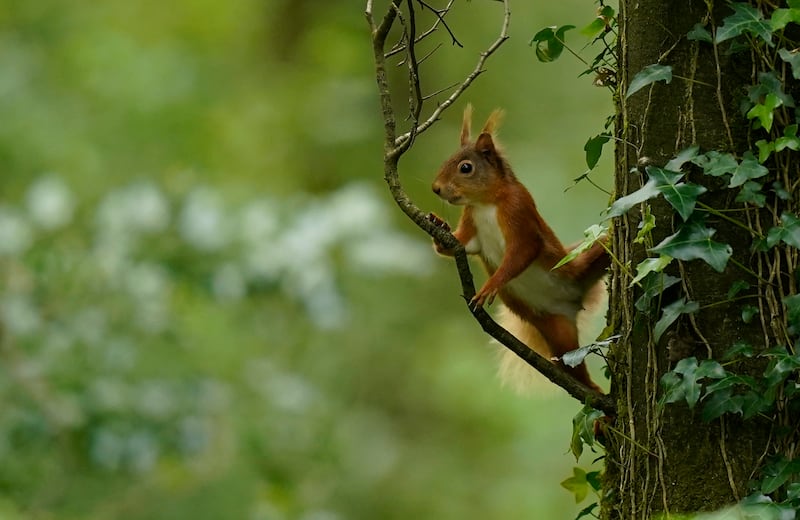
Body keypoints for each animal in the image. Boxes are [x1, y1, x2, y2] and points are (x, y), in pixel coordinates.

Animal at [428, 105, 609, 393]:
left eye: (466, 167)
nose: (436, 188)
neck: (485, 203)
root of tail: (576, 293)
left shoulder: (519, 211)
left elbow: (524, 250)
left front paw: (491, 286)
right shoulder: (471, 226)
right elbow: (464, 245)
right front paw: (438, 224)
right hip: (559, 331)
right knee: (572, 366)